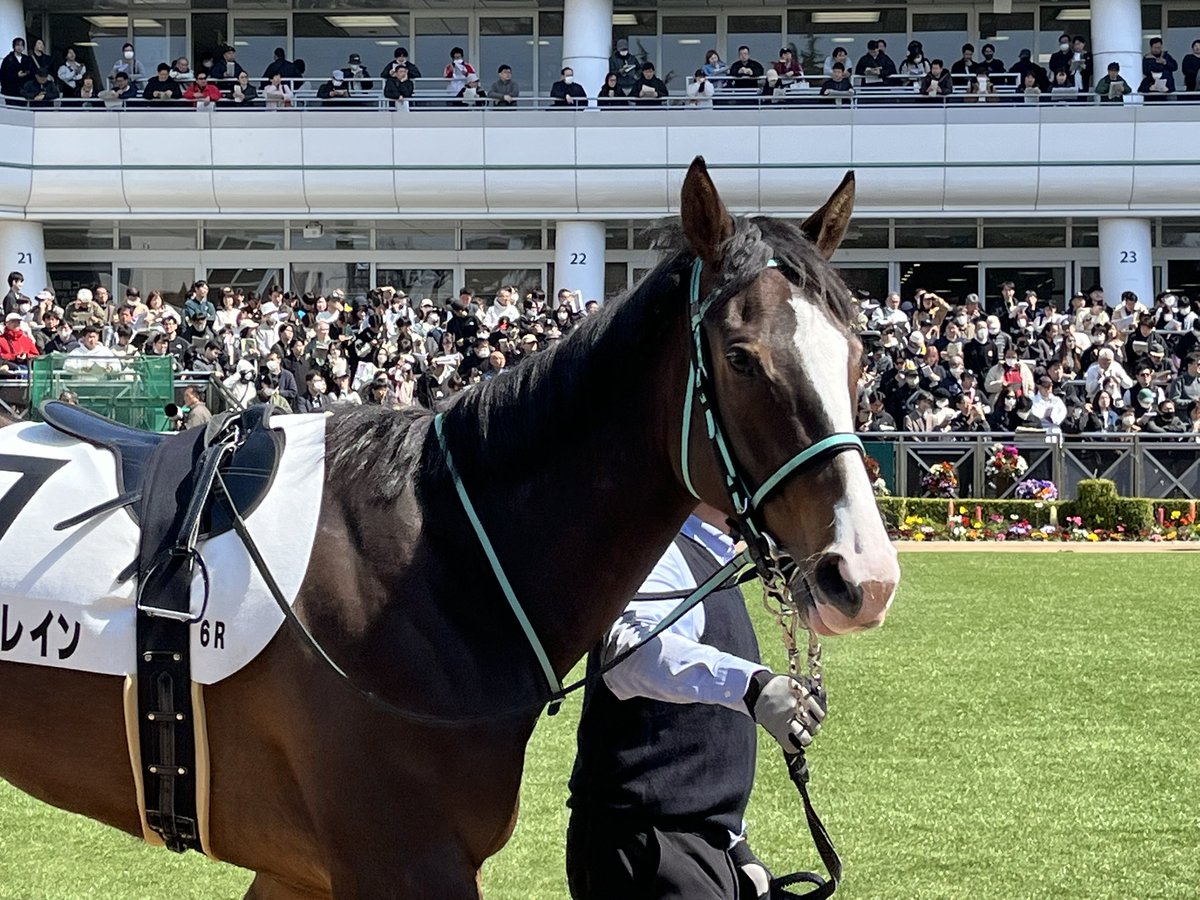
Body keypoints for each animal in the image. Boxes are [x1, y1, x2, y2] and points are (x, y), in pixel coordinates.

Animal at [0, 157, 899, 899]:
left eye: (859, 354)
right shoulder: (402, 859)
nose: (863, 576)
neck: (439, 556)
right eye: (742, 357)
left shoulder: (307, 869)